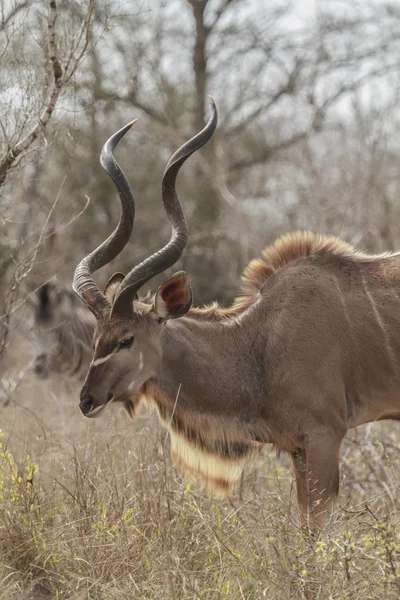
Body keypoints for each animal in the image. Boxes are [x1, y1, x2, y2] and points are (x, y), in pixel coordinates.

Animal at [72, 99, 400, 528]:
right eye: (97, 339)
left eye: (127, 339)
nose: (86, 401)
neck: (258, 341)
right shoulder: (298, 447)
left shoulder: (325, 435)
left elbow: (319, 526)